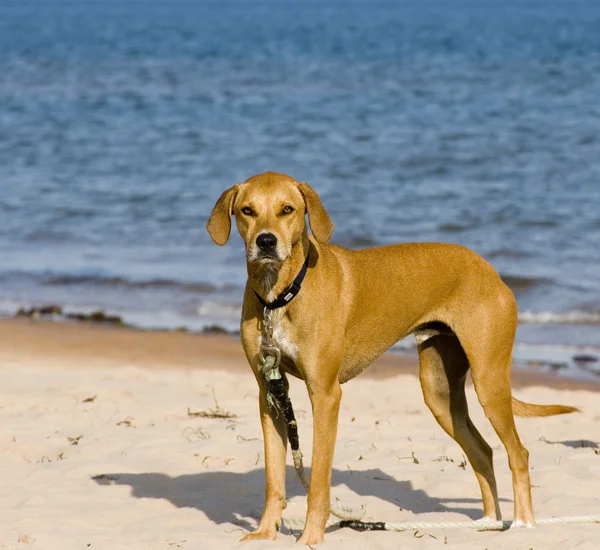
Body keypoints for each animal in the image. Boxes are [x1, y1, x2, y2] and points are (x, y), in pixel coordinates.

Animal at [206, 172, 576, 548]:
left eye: (287, 209)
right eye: (247, 210)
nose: (266, 242)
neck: (281, 296)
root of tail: (489, 270)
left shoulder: (325, 395)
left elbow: (319, 482)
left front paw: (310, 537)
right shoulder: (270, 394)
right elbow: (274, 479)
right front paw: (266, 533)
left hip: (489, 381)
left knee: (518, 453)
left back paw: (523, 524)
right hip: (439, 393)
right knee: (483, 452)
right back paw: (488, 524)